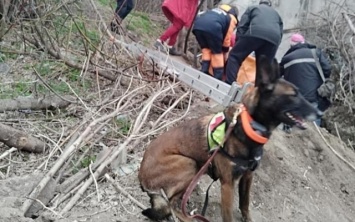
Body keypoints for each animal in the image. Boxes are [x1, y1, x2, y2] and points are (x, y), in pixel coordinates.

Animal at [138, 56, 322, 222]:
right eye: (294, 95)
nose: (320, 113)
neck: (249, 127)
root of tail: (141, 174)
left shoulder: (247, 176)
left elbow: (245, 205)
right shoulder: (227, 184)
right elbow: (228, 216)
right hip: (190, 164)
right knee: (172, 204)